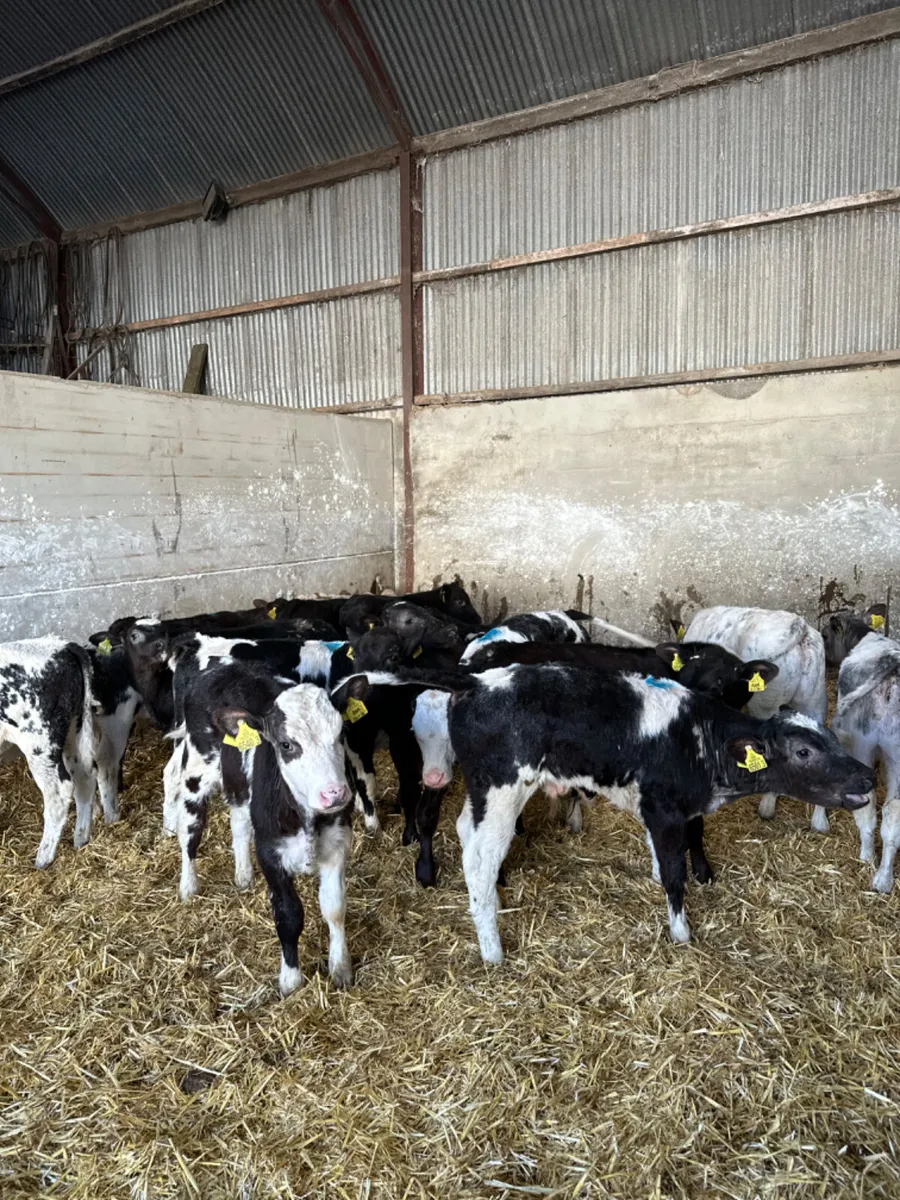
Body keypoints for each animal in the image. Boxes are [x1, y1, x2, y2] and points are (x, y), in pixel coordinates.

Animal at [0, 639, 97, 867]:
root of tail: (61, 646)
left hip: (39, 742)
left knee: (59, 791)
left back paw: (43, 858)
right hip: (74, 728)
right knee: (85, 775)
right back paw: (81, 838)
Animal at [360, 664, 873, 962]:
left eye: (830, 737)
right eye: (804, 751)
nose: (868, 777)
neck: (699, 741)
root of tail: (479, 680)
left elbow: (666, 859)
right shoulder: (664, 809)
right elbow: (675, 873)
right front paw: (681, 933)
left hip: (486, 790)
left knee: (467, 831)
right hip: (504, 786)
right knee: (480, 856)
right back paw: (493, 950)